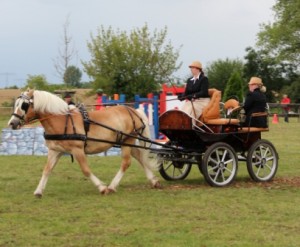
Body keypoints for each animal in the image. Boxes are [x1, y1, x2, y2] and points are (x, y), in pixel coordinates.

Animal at [7, 89, 162, 197]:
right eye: (16, 104)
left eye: (24, 105)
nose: (12, 123)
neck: (61, 120)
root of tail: (132, 110)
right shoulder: (55, 151)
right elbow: (47, 170)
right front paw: (38, 191)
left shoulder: (77, 150)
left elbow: (86, 170)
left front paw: (102, 188)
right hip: (126, 141)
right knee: (140, 157)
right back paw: (153, 181)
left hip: (127, 141)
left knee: (126, 162)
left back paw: (112, 186)